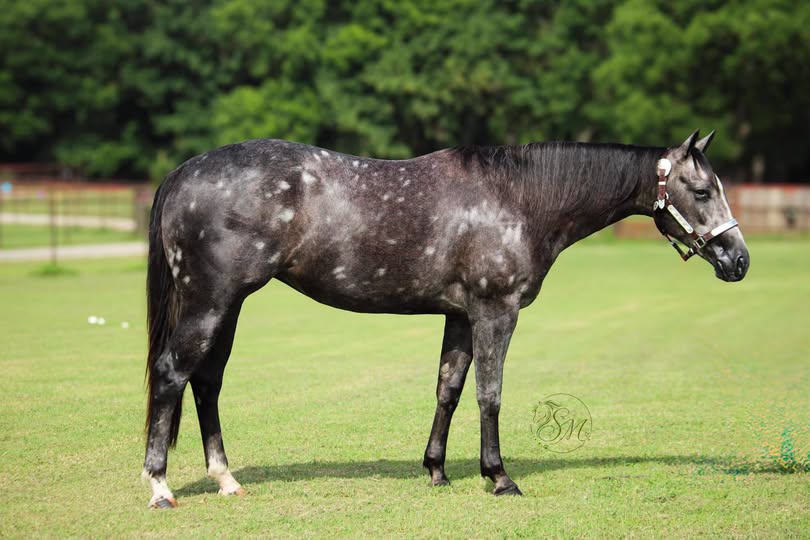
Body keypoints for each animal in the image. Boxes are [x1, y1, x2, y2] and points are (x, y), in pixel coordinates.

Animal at [142, 130, 749, 508]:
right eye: (701, 191)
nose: (739, 260)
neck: (519, 199)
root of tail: (184, 172)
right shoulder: (495, 312)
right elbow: (490, 393)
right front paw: (499, 477)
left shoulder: (458, 316)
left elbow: (448, 390)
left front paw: (436, 469)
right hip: (211, 302)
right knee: (173, 373)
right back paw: (160, 487)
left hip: (228, 306)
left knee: (207, 382)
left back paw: (225, 480)